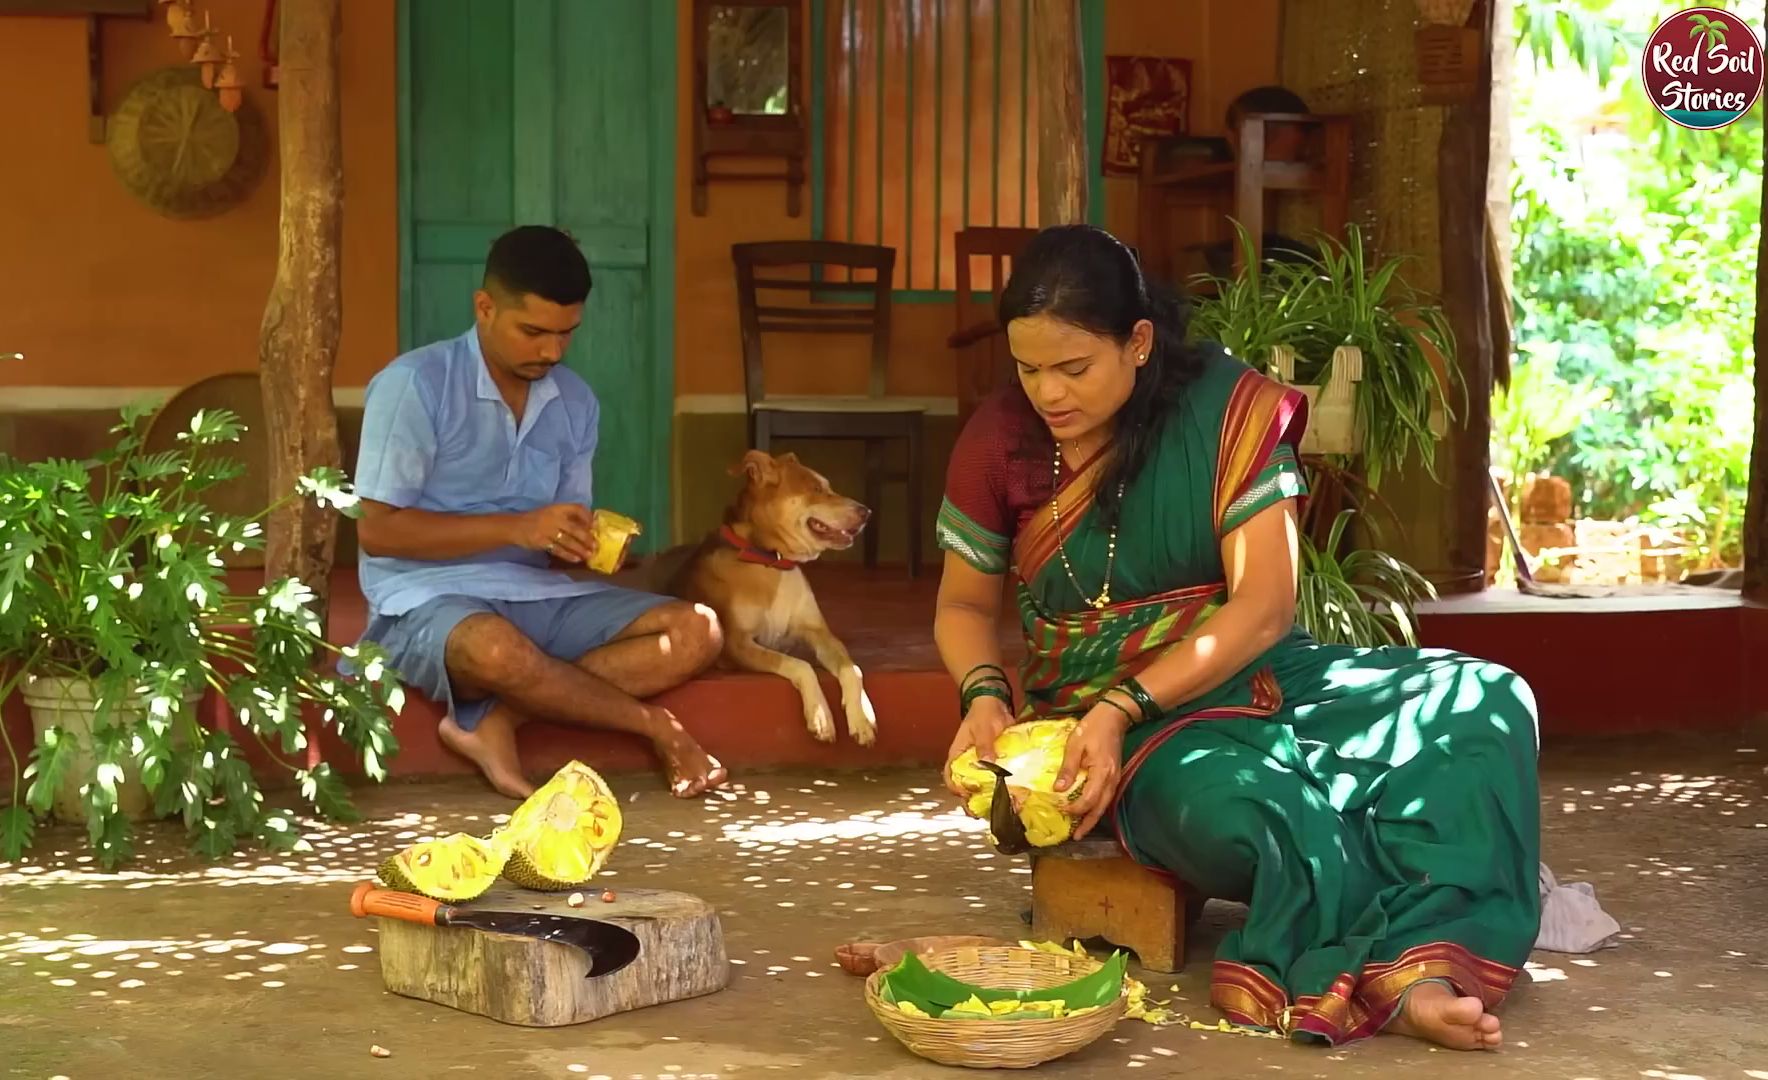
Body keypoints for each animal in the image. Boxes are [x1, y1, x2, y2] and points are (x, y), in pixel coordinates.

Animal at [657, 452, 876, 749]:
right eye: (816, 489)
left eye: (828, 487)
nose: (867, 512)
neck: (773, 562)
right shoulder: (737, 645)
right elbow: (801, 665)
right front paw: (820, 715)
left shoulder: (820, 633)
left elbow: (852, 669)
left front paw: (862, 717)